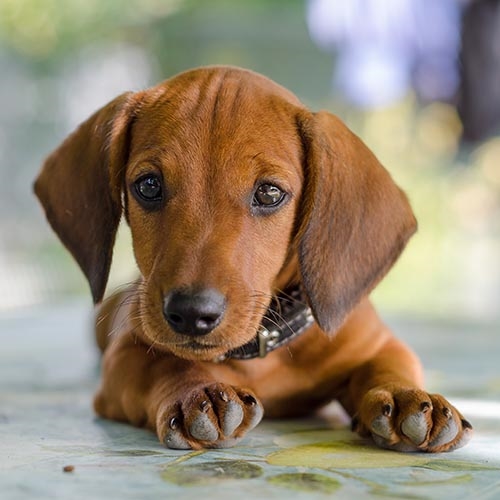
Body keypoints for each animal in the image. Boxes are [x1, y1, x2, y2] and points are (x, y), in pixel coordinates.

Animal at [35, 66, 472, 454]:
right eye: (148, 185)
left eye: (269, 193)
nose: (191, 313)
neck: (260, 347)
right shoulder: (125, 357)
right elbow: (168, 365)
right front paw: (199, 391)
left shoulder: (377, 343)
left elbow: (387, 366)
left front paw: (404, 396)